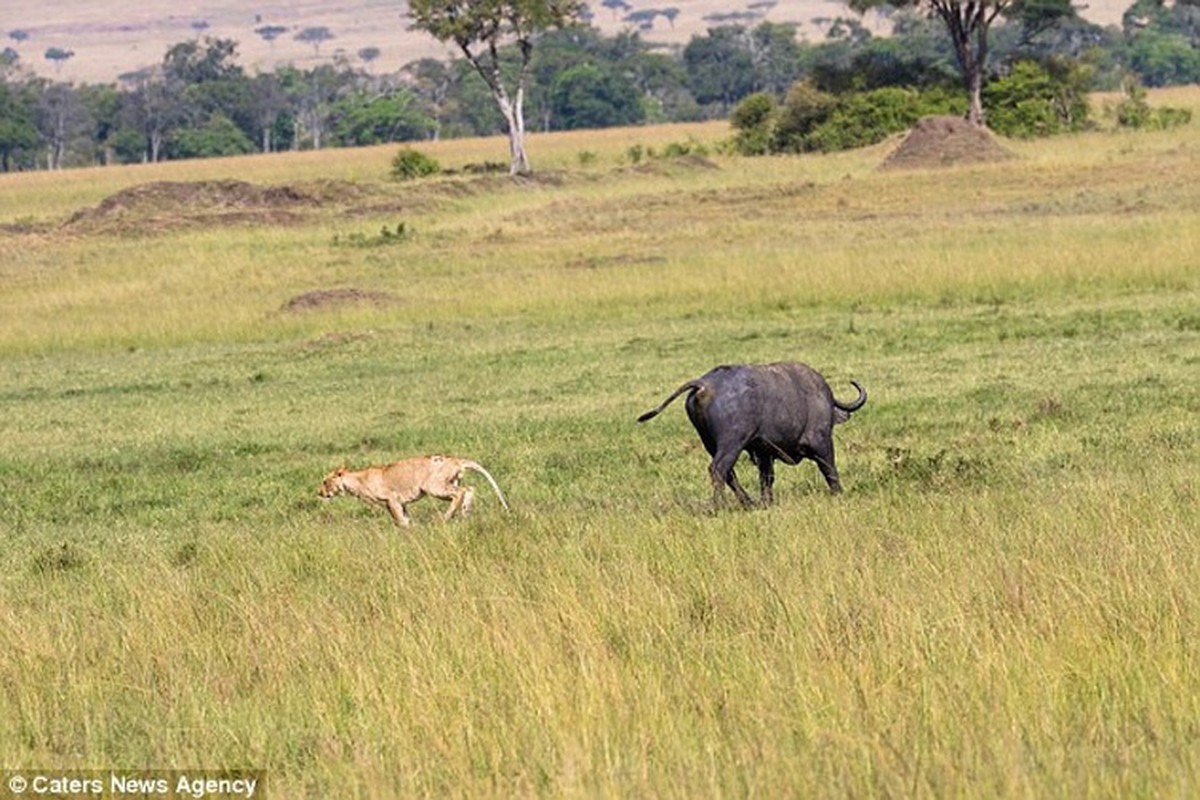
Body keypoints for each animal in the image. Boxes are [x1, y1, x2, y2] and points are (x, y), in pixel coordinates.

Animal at [638, 362, 864, 506]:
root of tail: (705, 384)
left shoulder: (764, 453)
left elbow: (767, 478)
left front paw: (767, 502)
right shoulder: (821, 442)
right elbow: (829, 468)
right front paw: (839, 493)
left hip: (710, 443)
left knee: (728, 473)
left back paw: (748, 502)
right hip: (732, 442)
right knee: (718, 469)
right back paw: (719, 505)